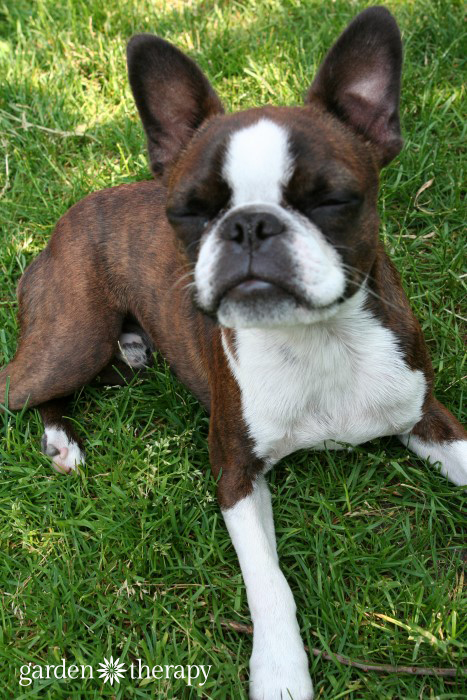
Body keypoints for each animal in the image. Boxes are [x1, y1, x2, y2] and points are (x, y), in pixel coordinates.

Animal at [1, 6, 466, 700]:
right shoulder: (234, 474)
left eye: (332, 200)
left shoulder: (428, 417)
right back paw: (60, 440)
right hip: (72, 338)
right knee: (23, 386)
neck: (317, 339)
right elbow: (270, 584)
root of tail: (61, 225)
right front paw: (280, 673)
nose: (248, 224)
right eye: (190, 211)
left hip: (107, 354)